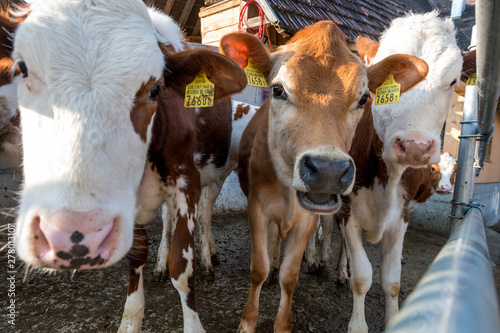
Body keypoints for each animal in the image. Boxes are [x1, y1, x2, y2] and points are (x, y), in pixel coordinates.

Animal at [11, 1, 246, 330]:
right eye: (21, 68)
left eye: (156, 88)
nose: (73, 233)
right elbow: (136, 256)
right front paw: (130, 320)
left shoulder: (188, 181)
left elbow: (182, 265)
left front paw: (193, 323)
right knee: (169, 220)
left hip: (217, 172)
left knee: (206, 215)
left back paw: (209, 257)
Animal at [221, 21, 428, 332]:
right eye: (278, 90)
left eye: (364, 98)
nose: (328, 171)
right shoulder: (256, 207)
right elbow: (258, 268)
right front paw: (247, 321)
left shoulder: (308, 217)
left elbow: (290, 276)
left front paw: (282, 323)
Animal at [334, 11, 474, 330]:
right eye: (386, 81)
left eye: (452, 81)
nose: (413, 146)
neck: (389, 176)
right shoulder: (348, 210)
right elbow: (363, 276)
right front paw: (357, 325)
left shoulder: (401, 218)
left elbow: (391, 281)